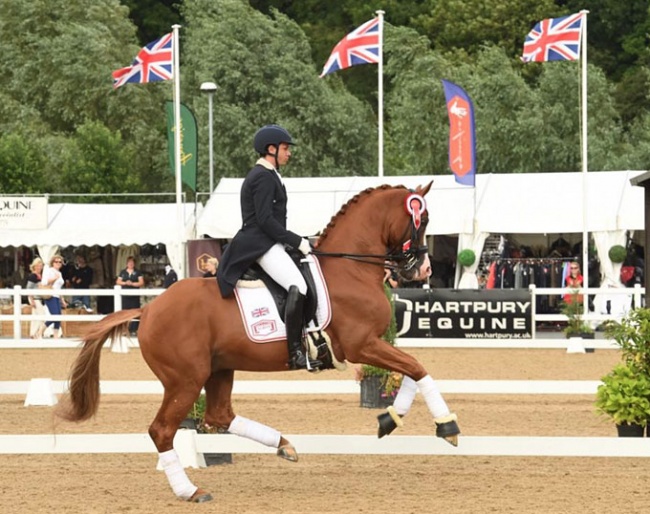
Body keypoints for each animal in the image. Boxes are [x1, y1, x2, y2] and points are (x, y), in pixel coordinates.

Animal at [58, 183, 458, 500]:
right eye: (421, 220)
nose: (422, 270)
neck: (350, 268)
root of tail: (150, 308)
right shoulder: (362, 344)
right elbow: (418, 368)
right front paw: (447, 427)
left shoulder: (370, 345)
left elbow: (410, 372)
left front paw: (391, 418)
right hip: (185, 379)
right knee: (163, 430)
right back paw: (191, 491)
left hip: (218, 370)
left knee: (219, 415)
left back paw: (284, 445)